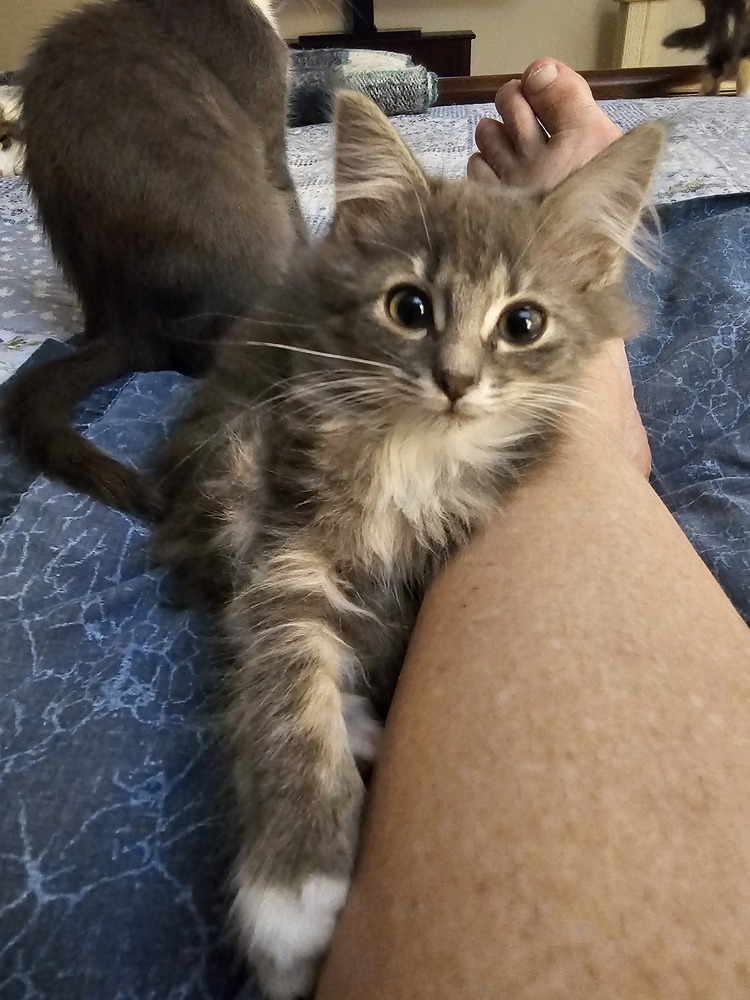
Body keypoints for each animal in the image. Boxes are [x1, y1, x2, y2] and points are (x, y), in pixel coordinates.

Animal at [156, 95, 668, 1000]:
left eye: (523, 324)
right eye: (410, 308)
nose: (457, 380)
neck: (417, 448)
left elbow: (382, 634)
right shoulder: (292, 532)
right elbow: (283, 678)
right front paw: (295, 892)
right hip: (233, 455)